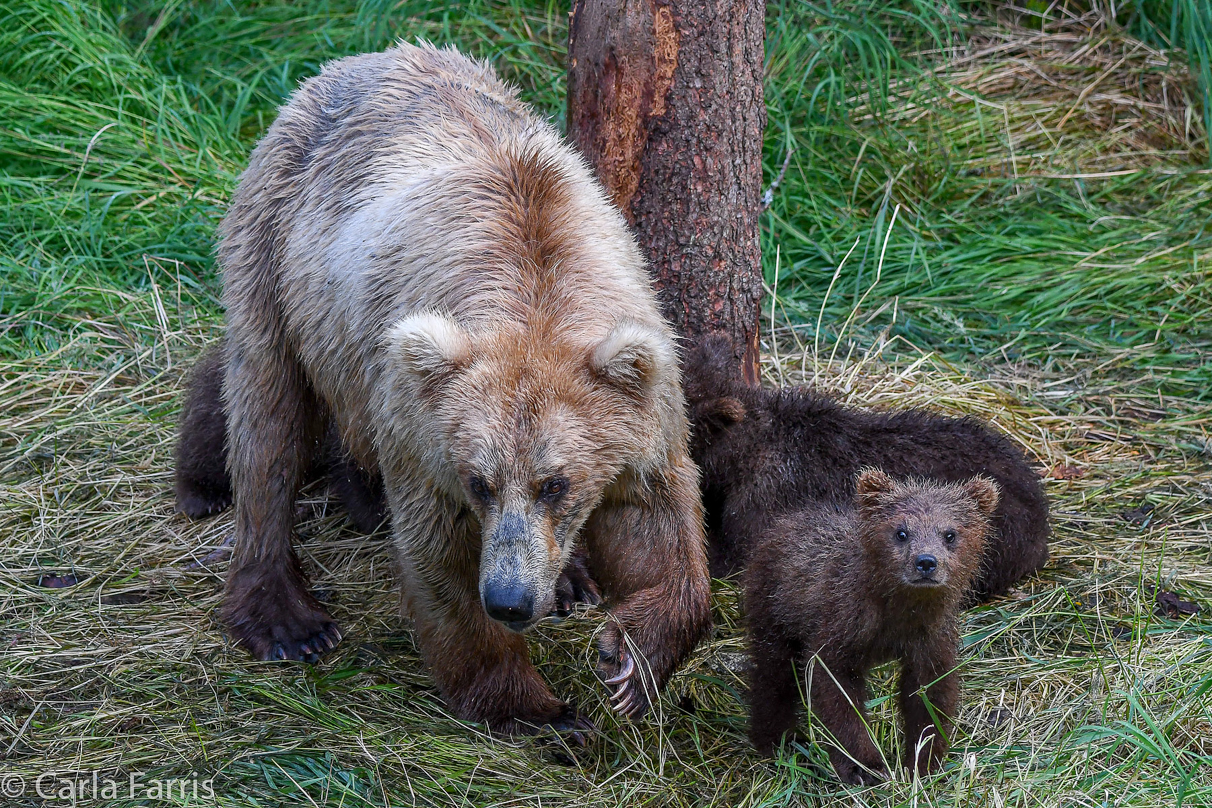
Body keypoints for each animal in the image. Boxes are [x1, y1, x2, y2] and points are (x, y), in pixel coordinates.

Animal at [208, 41, 707, 731]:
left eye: (556, 484)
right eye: (480, 481)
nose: (509, 598)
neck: (535, 289)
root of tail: (355, 62)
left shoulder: (644, 396)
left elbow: (657, 521)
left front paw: (630, 660)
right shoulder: (420, 423)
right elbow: (439, 554)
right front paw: (540, 709)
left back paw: (569, 579)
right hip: (274, 255)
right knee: (267, 419)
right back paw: (286, 619)